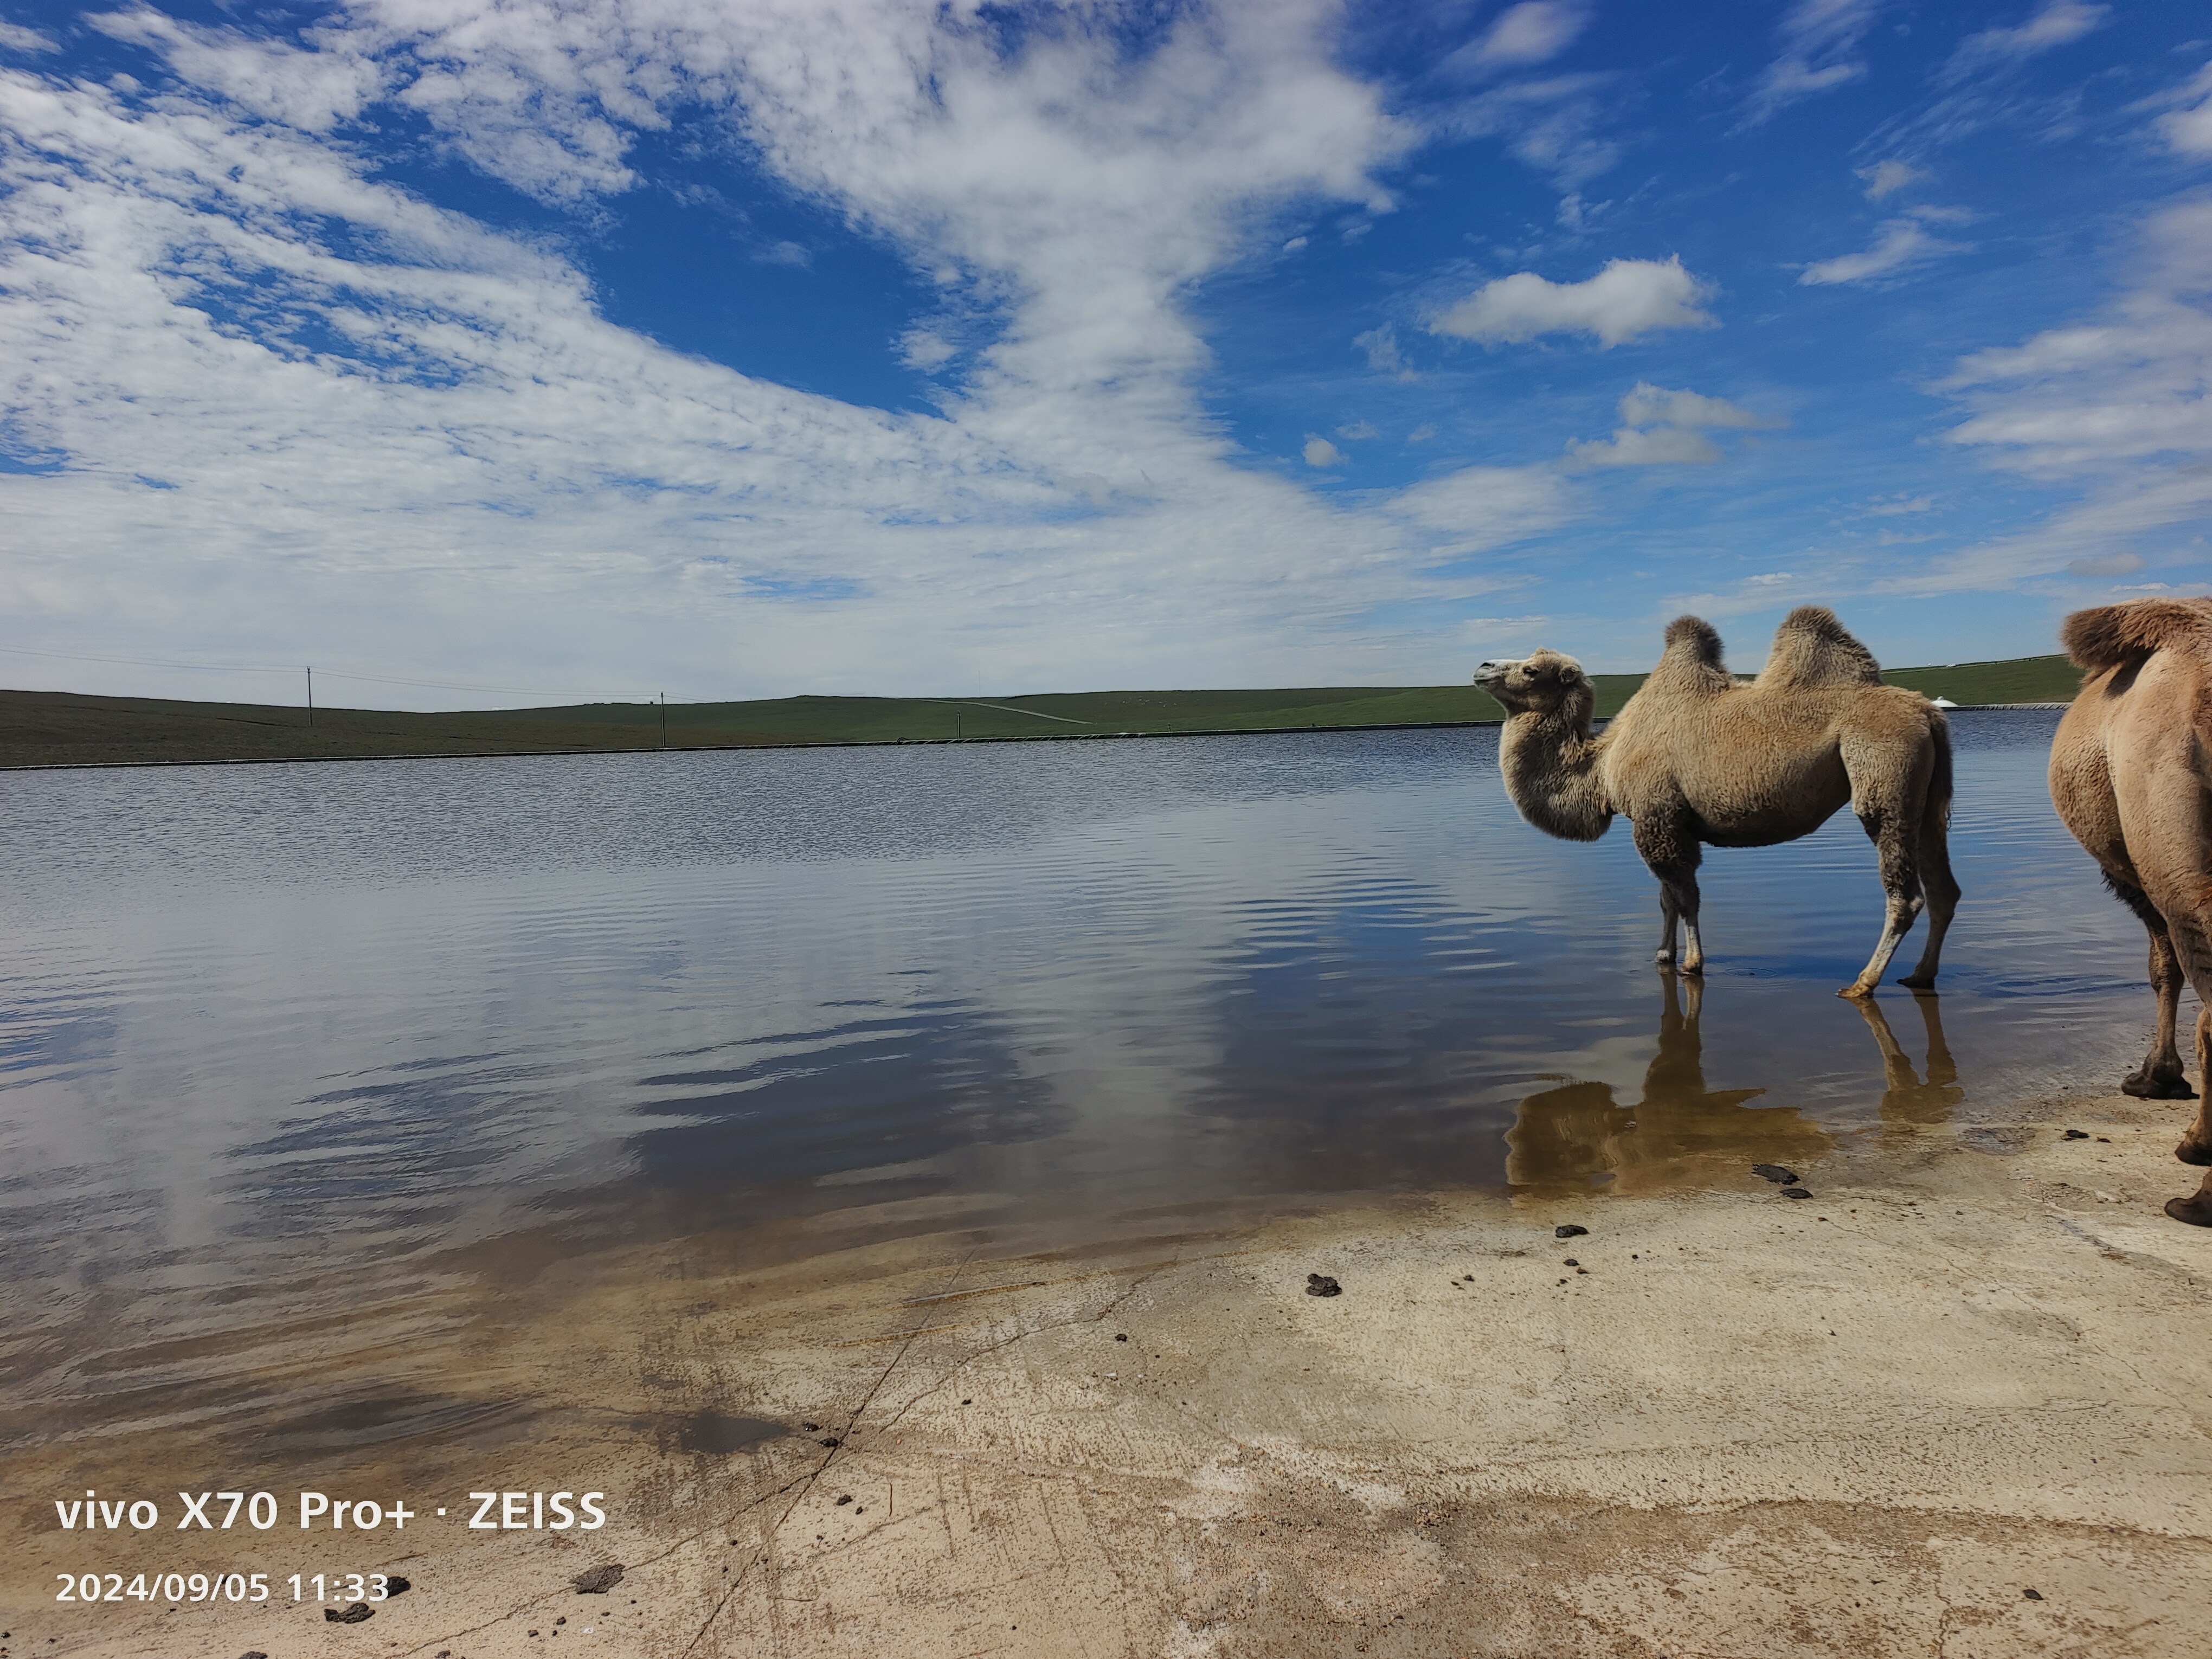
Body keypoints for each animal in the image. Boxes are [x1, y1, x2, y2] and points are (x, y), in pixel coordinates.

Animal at [1477, 610, 1964, 1000]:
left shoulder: (1658, 818)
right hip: (1925, 800)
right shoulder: (1666, 822)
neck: (1604, 767)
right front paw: (1663, 954)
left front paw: (1692, 963)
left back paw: (1863, 983)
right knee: (1944, 887)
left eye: (1531, 669)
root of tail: (1929, 712)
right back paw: (1919, 976)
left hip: (1883, 775)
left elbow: (1686, 896)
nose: (1482, 667)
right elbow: (1667, 898)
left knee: (1905, 891)